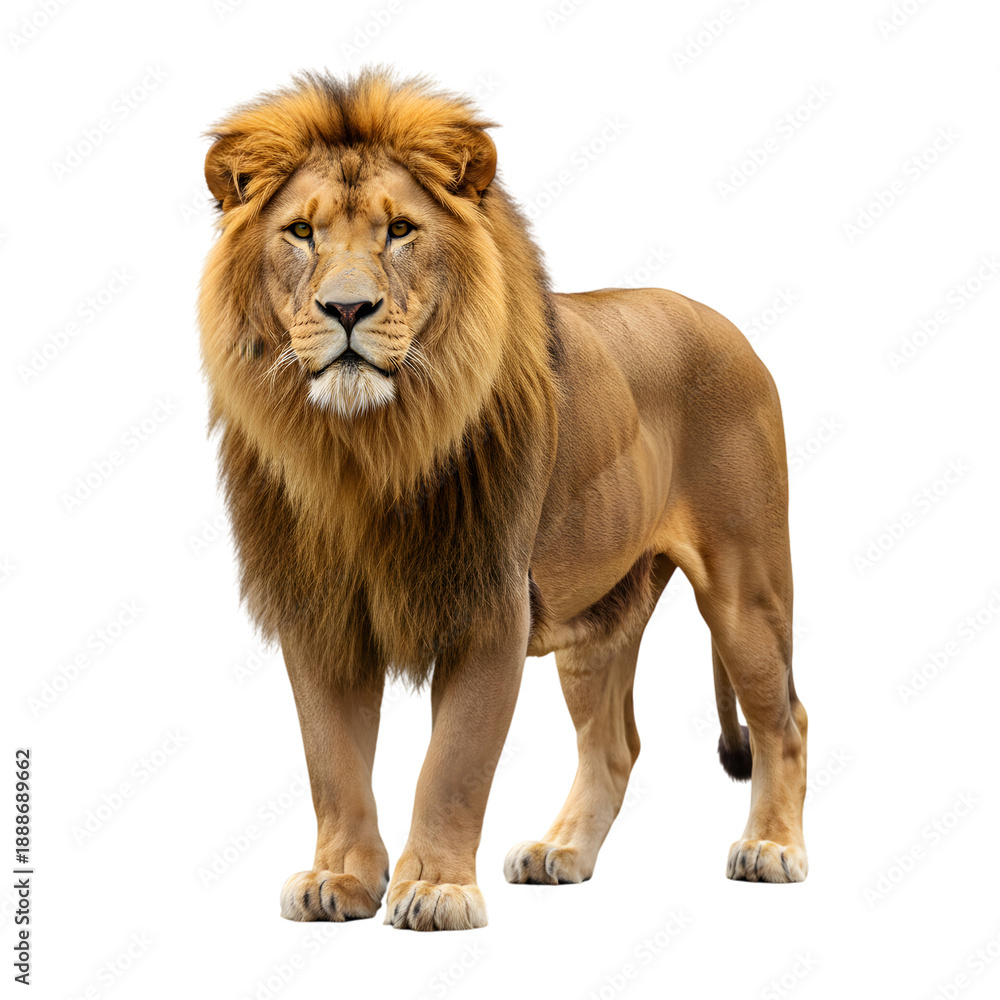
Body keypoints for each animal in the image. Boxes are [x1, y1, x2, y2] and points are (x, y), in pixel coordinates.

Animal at [199, 69, 808, 931]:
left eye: (400, 230)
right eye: (300, 233)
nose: (346, 309)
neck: (364, 452)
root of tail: (729, 325)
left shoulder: (489, 602)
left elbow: (454, 763)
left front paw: (435, 888)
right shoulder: (320, 611)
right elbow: (332, 763)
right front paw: (340, 880)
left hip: (746, 587)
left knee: (785, 719)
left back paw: (772, 849)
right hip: (599, 617)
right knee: (614, 744)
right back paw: (562, 853)